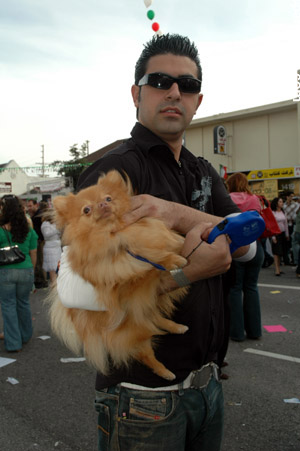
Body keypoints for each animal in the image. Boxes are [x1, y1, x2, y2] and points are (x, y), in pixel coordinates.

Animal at [49, 171, 188, 380]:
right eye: (86, 210)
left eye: (108, 198)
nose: (102, 204)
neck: (115, 236)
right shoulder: (124, 286)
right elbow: (147, 268)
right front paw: (169, 260)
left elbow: (158, 251)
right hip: (133, 332)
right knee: (146, 352)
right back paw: (165, 372)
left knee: (156, 317)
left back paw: (177, 327)